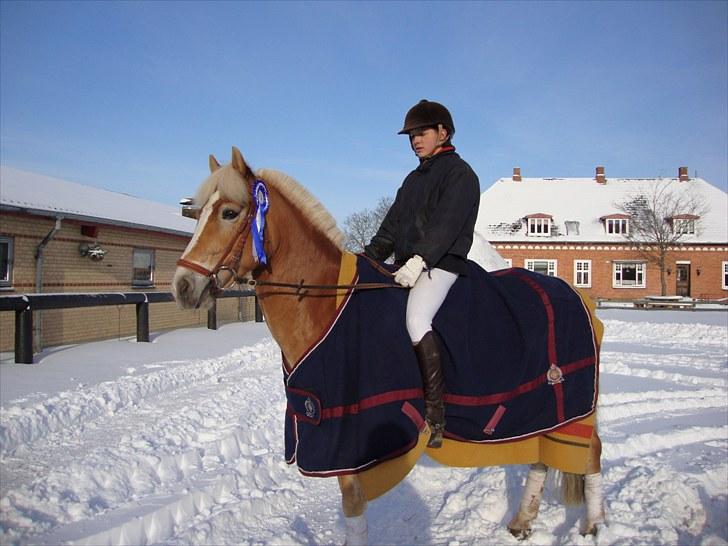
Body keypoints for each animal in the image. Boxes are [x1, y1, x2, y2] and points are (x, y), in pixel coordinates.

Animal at [173, 147, 604, 540]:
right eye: (198, 213)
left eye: (229, 213)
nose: (182, 286)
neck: (326, 303)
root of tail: (576, 296)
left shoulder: (350, 440)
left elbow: (353, 510)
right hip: (539, 408)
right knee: (542, 455)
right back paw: (522, 521)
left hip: (572, 404)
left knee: (591, 452)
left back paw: (593, 525)